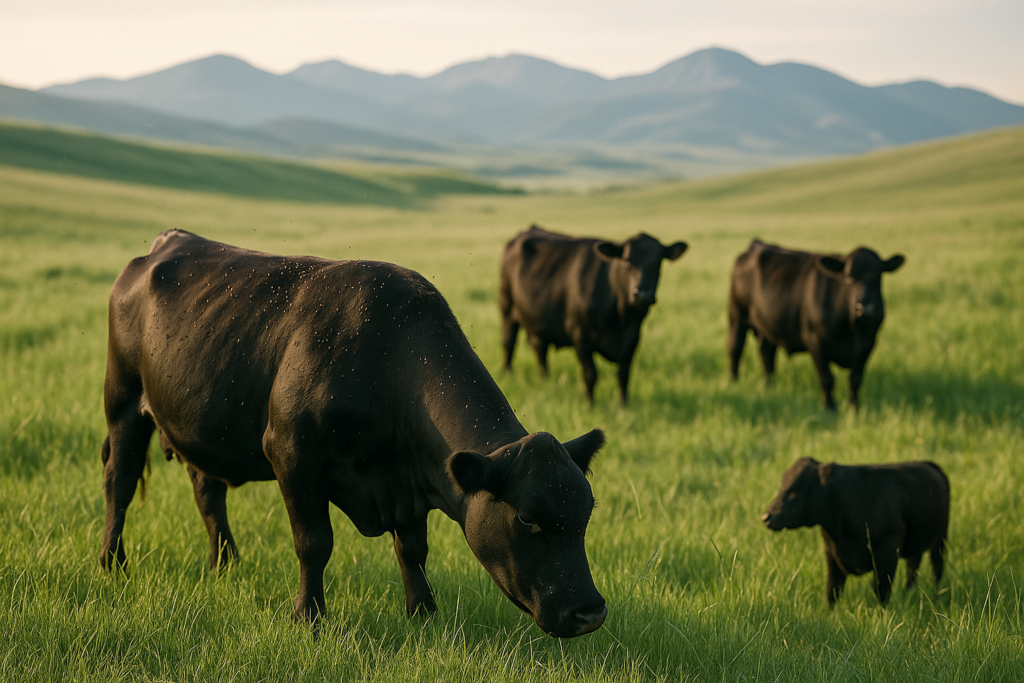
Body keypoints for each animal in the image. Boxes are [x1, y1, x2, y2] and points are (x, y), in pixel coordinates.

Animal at [100, 229, 608, 639]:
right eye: (527, 518)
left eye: (586, 513)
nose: (590, 613)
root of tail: (167, 242)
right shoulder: (291, 453)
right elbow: (314, 543)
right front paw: (309, 618)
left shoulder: (407, 482)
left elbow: (412, 548)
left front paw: (423, 613)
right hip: (123, 402)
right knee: (118, 482)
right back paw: (112, 563)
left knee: (208, 491)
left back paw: (225, 565)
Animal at [500, 225, 688, 405]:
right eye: (627, 262)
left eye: (658, 263)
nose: (643, 294)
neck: (622, 319)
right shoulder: (581, 337)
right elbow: (591, 375)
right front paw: (589, 405)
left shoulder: (633, 339)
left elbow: (624, 375)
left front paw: (623, 405)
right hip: (507, 307)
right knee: (509, 341)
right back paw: (507, 373)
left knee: (539, 348)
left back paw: (545, 379)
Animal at [728, 239, 904, 409]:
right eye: (849, 279)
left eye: (877, 277)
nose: (865, 308)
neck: (852, 331)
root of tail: (757, 244)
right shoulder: (815, 342)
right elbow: (827, 378)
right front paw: (830, 407)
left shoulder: (868, 345)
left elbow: (856, 379)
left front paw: (854, 406)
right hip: (736, 315)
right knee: (735, 348)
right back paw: (734, 383)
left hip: (767, 326)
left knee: (767, 353)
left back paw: (768, 385)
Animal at [762, 457, 949, 607]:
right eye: (781, 487)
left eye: (796, 491)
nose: (767, 517)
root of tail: (927, 463)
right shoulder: (832, 555)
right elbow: (833, 589)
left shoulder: (887, 556)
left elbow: (881, 591)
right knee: (913, 568)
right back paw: (909, 593)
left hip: (941, 538)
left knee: (937, 567)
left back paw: (937, 594)